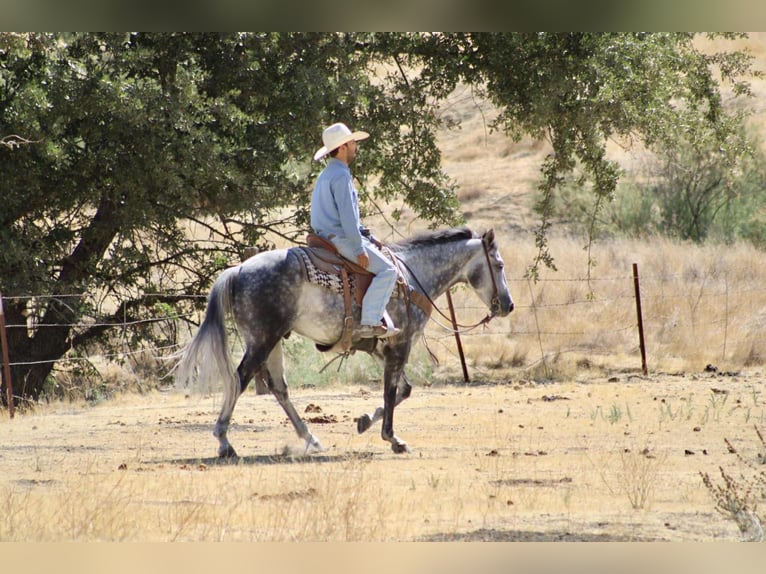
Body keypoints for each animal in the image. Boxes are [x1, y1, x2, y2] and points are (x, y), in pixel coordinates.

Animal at [174, 227, 514, 456]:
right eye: (498, 265)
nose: (508, 305)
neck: (412, 277)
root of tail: (239, 268)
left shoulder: (381, 348)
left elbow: (403, 390)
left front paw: (365, 421)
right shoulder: (401, 344)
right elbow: (392, 391)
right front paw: (392, 438)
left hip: (272, 341)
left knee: (279, 388)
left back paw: (310, 439)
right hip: (262, 340)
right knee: (240, 379)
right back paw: (224, 442)